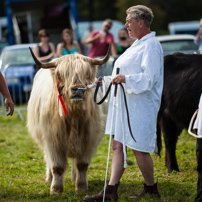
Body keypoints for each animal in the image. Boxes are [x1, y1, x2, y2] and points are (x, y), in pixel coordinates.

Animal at [27, 47, 109, 194]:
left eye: (86, 74)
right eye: (62, 75)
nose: (78, 89)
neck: (74, 116)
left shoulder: (88, 139)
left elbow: (82, 165)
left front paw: (81, 187)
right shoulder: (52, 140)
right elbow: (57, 166)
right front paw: (55, 189)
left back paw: (74, 178)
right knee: (48, 160)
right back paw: (49, 178)